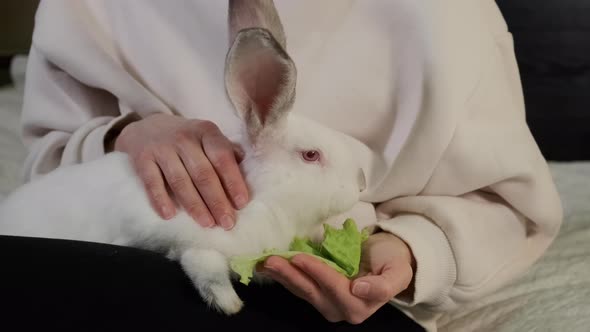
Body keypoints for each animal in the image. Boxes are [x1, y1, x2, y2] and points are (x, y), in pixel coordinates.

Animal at [0, 0, 368, 316]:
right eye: (311, 155)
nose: (360, 185)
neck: (265, 198)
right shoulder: (184, 235)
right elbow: (204, 265)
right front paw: (229, 304)